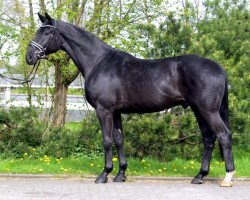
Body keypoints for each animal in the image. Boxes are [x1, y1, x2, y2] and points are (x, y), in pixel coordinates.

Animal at [25, 13, 234, 187]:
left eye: (46, 32)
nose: (29, 56)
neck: (99, 63)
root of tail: (219, 69)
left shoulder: (104, 110)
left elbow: (107, 140)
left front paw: (104, 174)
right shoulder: (116, 111)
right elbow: (119, 140)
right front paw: (120, 174)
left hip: (207, 110)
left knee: (223, 135)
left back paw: (227, 178)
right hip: (198, 110)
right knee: (208, 138)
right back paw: (200, 176)